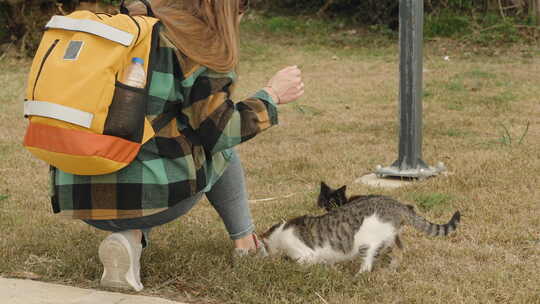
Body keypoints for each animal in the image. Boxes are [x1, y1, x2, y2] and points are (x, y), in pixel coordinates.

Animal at [262, 182, 460, 274]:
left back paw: (360, 274)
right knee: (400, 248)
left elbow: (304, 263)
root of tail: (397, 205)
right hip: (391, 235)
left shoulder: (304, 255)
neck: (279, 233)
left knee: (369, 258)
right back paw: (392, 267)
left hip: (368, 240)